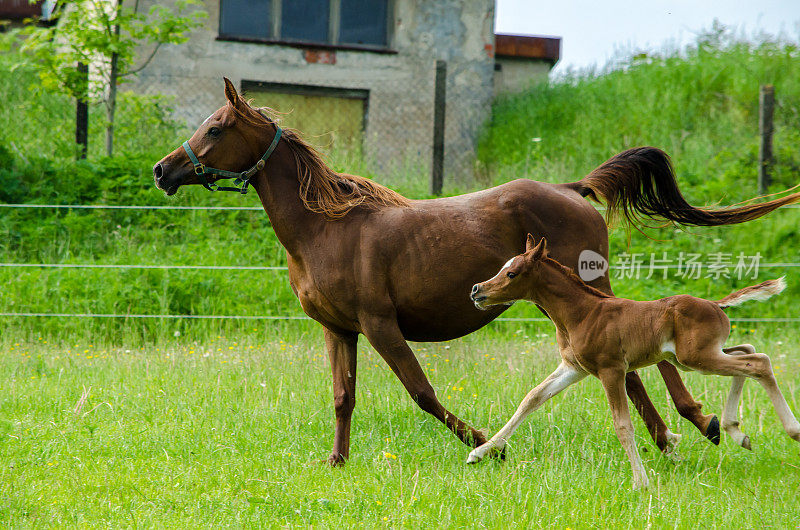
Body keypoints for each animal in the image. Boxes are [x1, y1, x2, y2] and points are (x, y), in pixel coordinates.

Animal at [466, 235, 796, 486]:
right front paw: (480, 452)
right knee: (747, 351)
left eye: (512, 273)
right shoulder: (574, 368)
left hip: (697, 358)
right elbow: (531, 398)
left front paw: (641, 482)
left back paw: (791, 430)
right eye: (502, 268)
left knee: (758, 363)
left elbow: (623, 424)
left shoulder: (611, 370)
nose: (476, 290)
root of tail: (715, 304)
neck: (582, 313)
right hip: (694, 357)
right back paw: (735, 431)